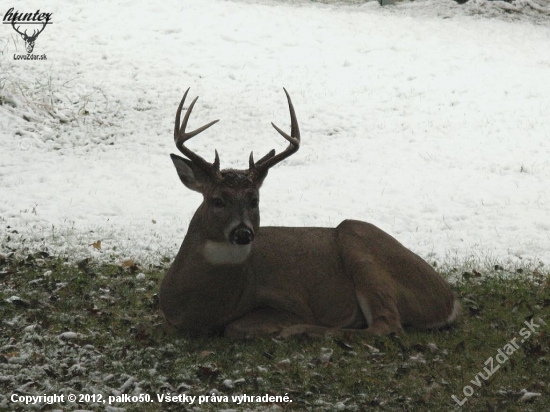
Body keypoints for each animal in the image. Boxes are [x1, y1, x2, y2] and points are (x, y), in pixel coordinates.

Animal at [160, 89, 462, 338]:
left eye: (254, 200)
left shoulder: (291, 301)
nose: (243, 233)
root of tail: (448, 300)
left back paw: (302, 331)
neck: (200, 309)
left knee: (386, 327)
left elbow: (236, 328)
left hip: (359, 245)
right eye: (217, 200)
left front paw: (281, 328)